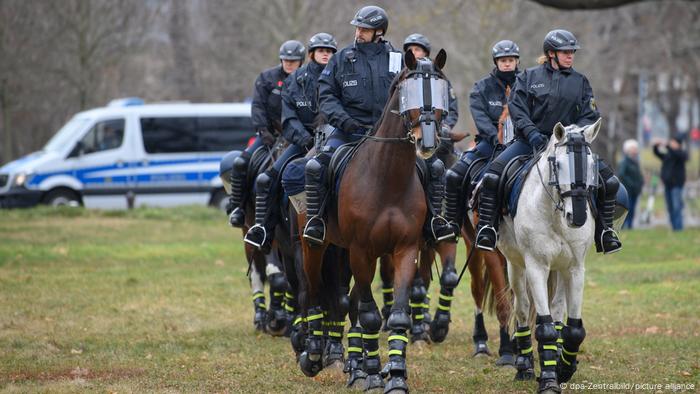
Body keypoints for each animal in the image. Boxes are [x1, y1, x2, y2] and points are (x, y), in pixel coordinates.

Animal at [294, 49, 448, 390]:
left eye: (443, 91)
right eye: (407, 93)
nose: (428, 143)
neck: (387, 177)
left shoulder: (404, 250)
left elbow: (396, 315)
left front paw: (395, 376)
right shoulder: (361, 251)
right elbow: (369, 316)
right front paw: (377, 375)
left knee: (346, 301)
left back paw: (356, 367)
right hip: (316, 246)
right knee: (312, 292)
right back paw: (312, 355)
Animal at [498, 119, 600, 394]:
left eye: (592, 166)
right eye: (558, 164)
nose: (577, 217)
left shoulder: (575, 269)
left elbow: (572, 329)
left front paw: (563, 369)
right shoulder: (536, 267)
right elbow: (544, 328)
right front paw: (548, 380)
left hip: (560, 270)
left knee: (556, 312)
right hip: (516, 265)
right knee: (523, 310)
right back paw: (524, 367)